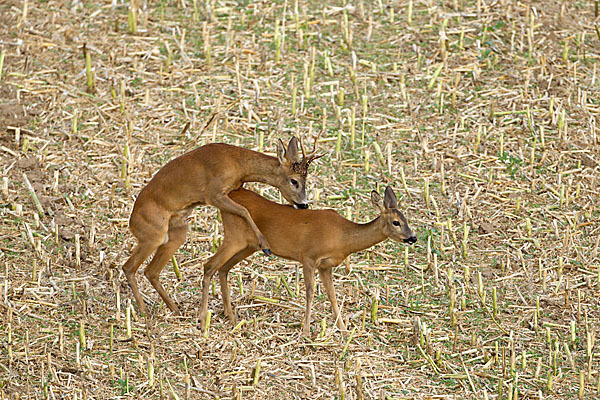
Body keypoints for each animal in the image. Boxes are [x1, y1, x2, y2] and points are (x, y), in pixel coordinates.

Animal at [119, 138, 322, 316]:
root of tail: (132, 222)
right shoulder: (214, 193)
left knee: (151, 271)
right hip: (153, 235)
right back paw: (144, 312)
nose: (304, 205)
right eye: (294, 181)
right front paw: (265, 245)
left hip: (176, 234)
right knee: (129, 267)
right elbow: (244, 210)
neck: (238, 163)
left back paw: (175, 309)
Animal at [199, 186, 414, 336]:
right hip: (235, 237)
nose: (413, 237)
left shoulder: (326, 266)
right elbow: (310, 293)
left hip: (248, 245)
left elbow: (332, 295)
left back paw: (231, 315)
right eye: (396, 222)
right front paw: (306, 331)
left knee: (223, 269)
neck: (343, 237)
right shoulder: (308, 257)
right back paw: (203, 321)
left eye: (407, 220)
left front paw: (344, 330)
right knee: (209, 266)